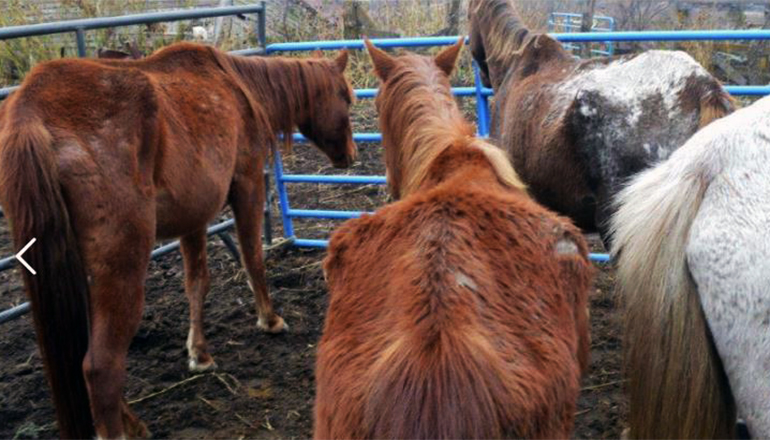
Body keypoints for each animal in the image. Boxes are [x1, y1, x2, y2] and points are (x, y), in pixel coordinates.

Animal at [0, 42, 356, 440]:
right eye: (345, 97)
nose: (351, 155)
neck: (241, 87)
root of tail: (31, 113)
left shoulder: (194, 216)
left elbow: (197, 283)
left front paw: (199, 354)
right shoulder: (247, 184)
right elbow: (252, 259)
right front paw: (270, 320)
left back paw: (134, 423)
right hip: (122, 266)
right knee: (99, 365)